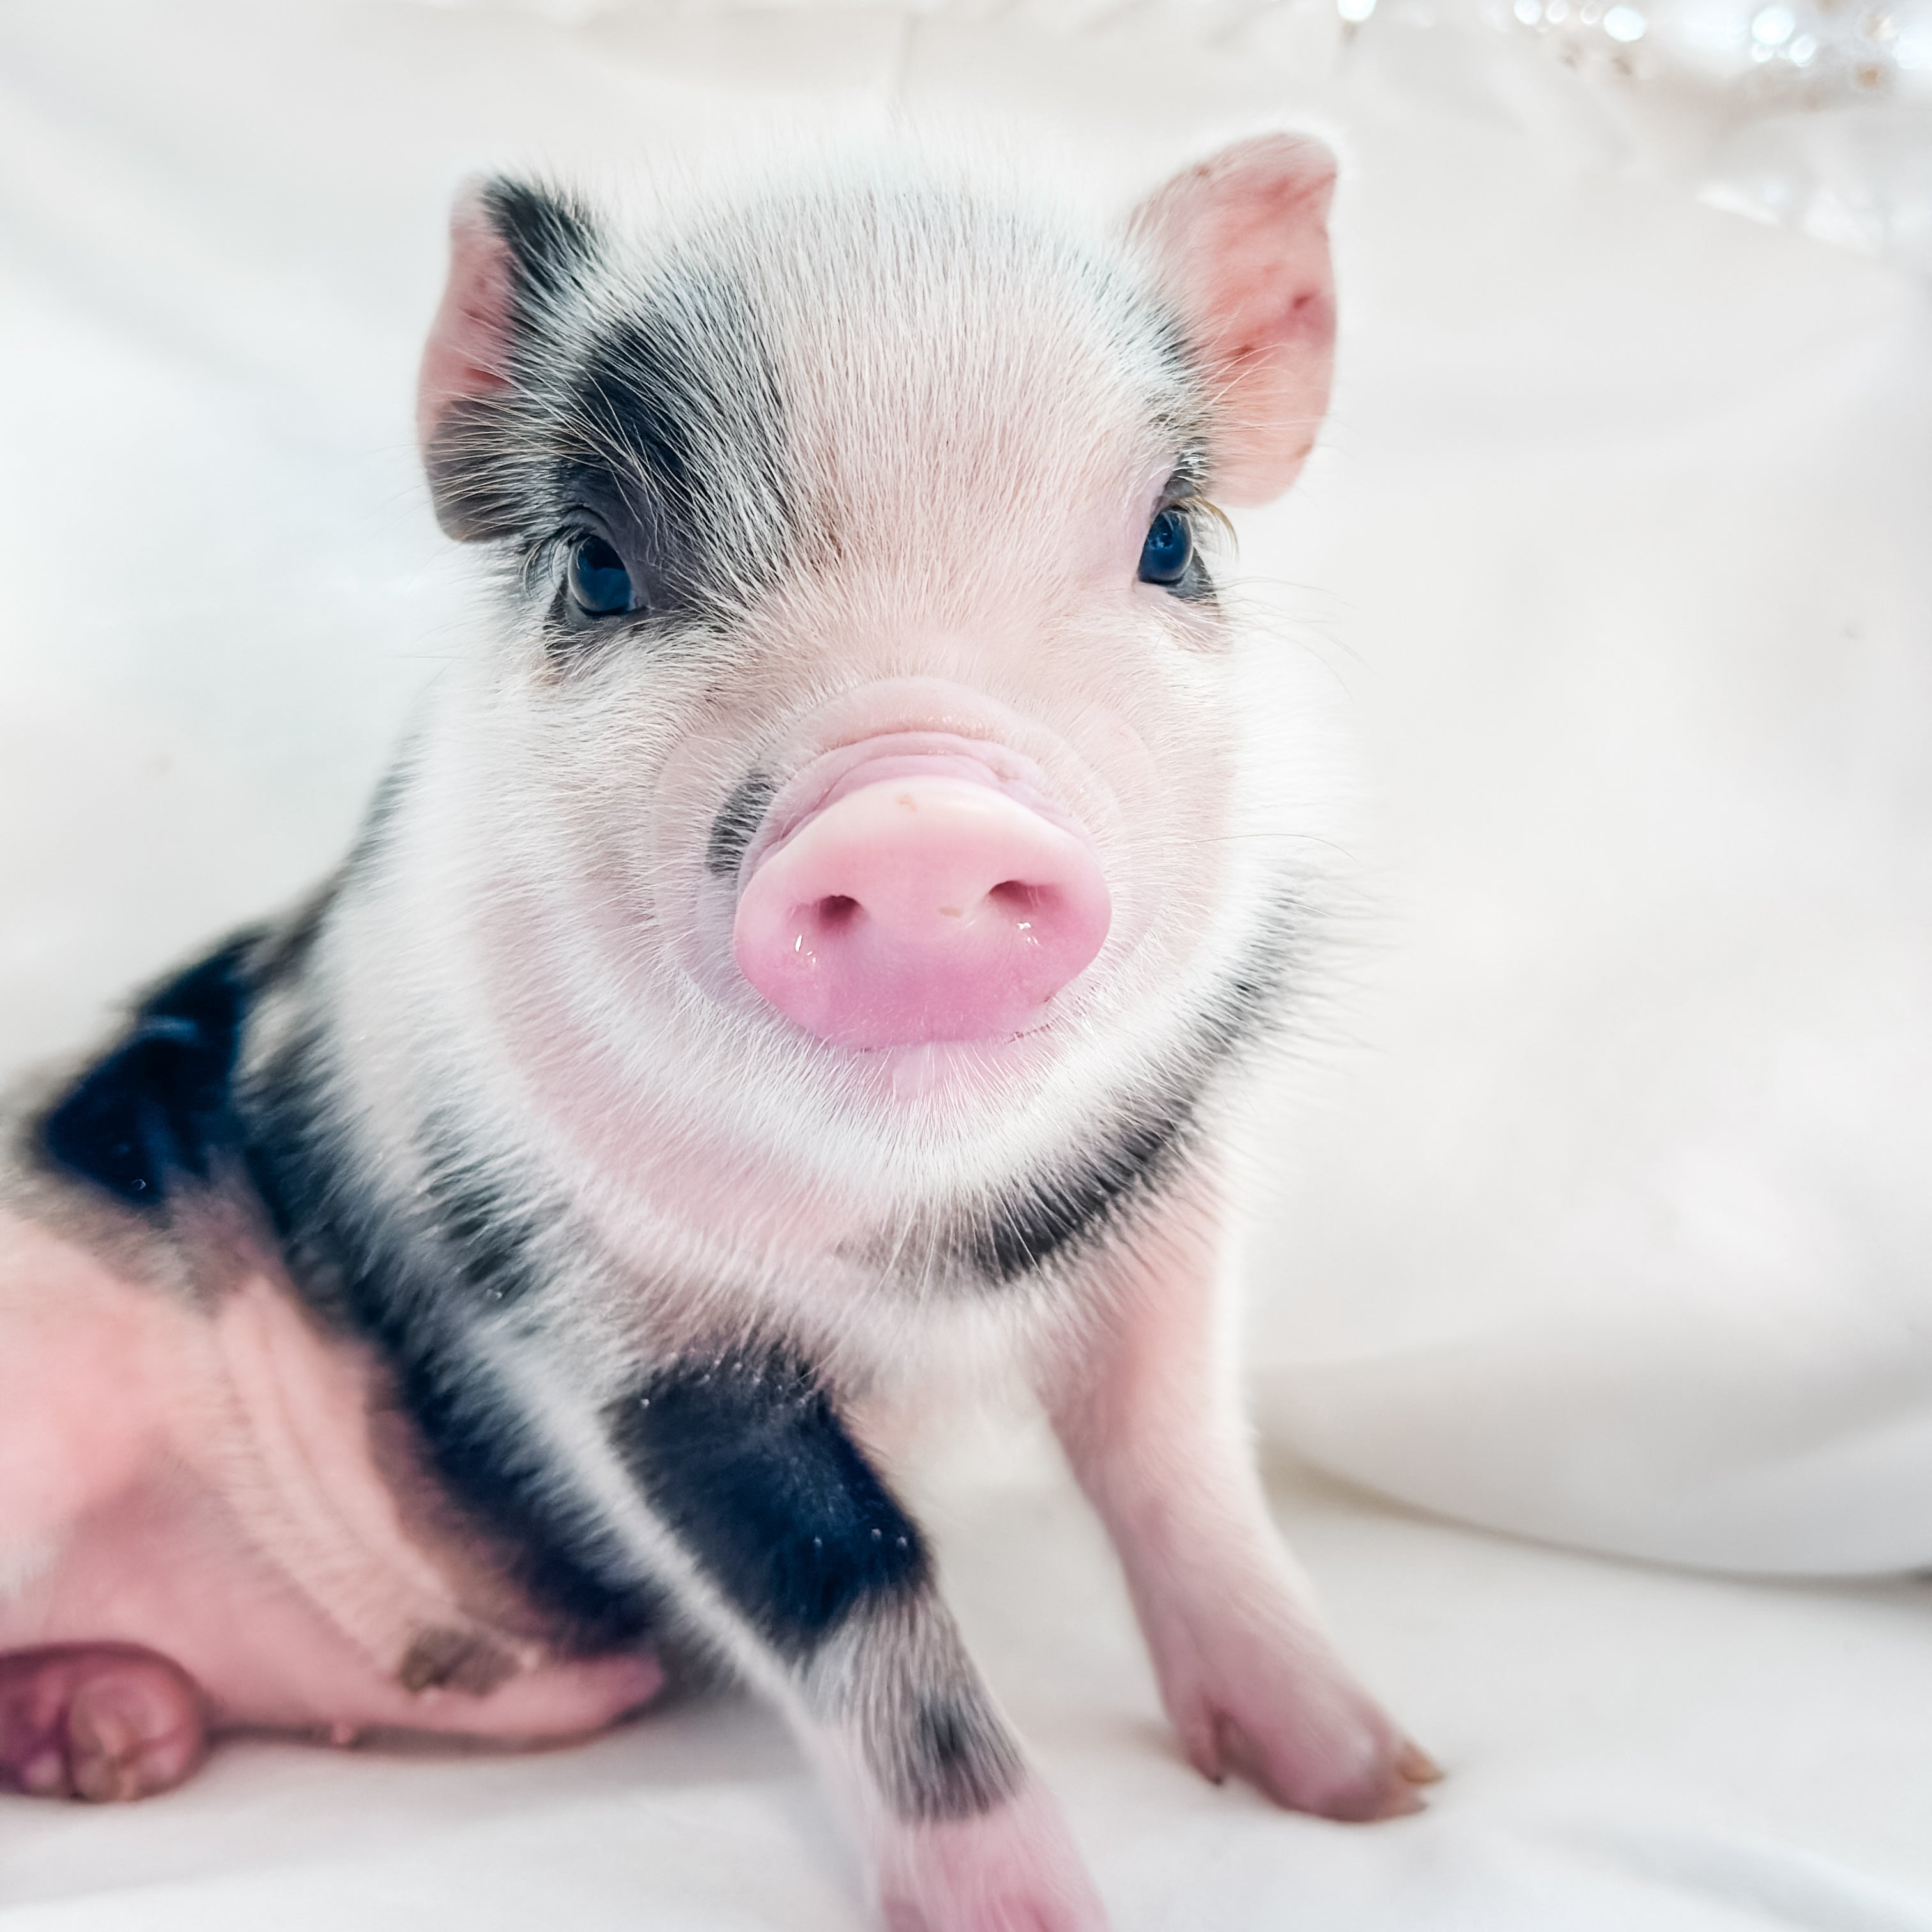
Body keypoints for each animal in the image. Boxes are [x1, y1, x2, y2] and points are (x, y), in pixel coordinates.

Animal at [0, 136, 1436, 1929]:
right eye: (599, 566)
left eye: (1172, 539)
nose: (916, 816)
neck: (914, 1249)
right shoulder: (592, 1314)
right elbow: (856, 1596)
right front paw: (1035, 1916)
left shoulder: (1170, 1201)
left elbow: (1180, 1467)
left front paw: (1379, 1789)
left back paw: (119, 1741)